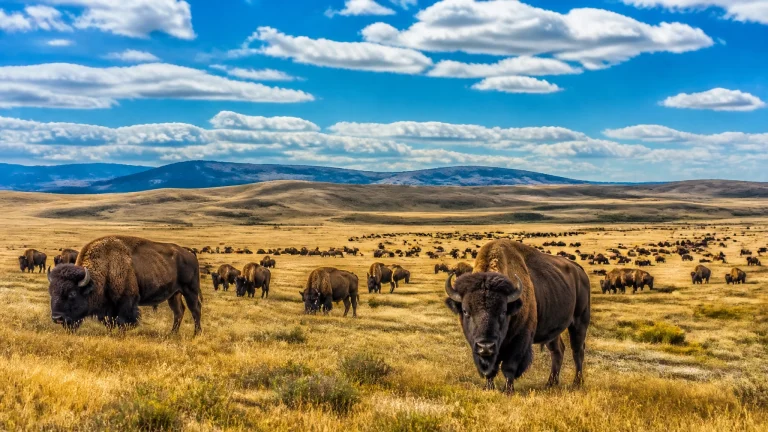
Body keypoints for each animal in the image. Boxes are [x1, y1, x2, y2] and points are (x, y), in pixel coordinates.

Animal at [46, 236, 202, 335]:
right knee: (178, 311)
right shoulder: (108, 308)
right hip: (174, 294)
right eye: (51, 292)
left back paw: (196, 334)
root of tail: (190, 255)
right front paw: (110, 334)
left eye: (72, 293)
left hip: (190, 290)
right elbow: (109, 322)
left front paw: (121, 334)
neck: (106, 266)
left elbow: (123, 321)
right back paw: (172, 334)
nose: (57, 318)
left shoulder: (126, 301)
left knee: (195, 310)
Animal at [444, 239, 590, 393]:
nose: (486, 346)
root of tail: (579, 271)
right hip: (553, 331)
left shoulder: (520, 339)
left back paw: (577, 383)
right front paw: (489, 388)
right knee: (558, 351)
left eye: (503, 311)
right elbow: (490, 368)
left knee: (577, 351)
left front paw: (508, 391)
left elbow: (509, 366)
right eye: (466, 311)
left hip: (579, 322)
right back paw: (551, 384)